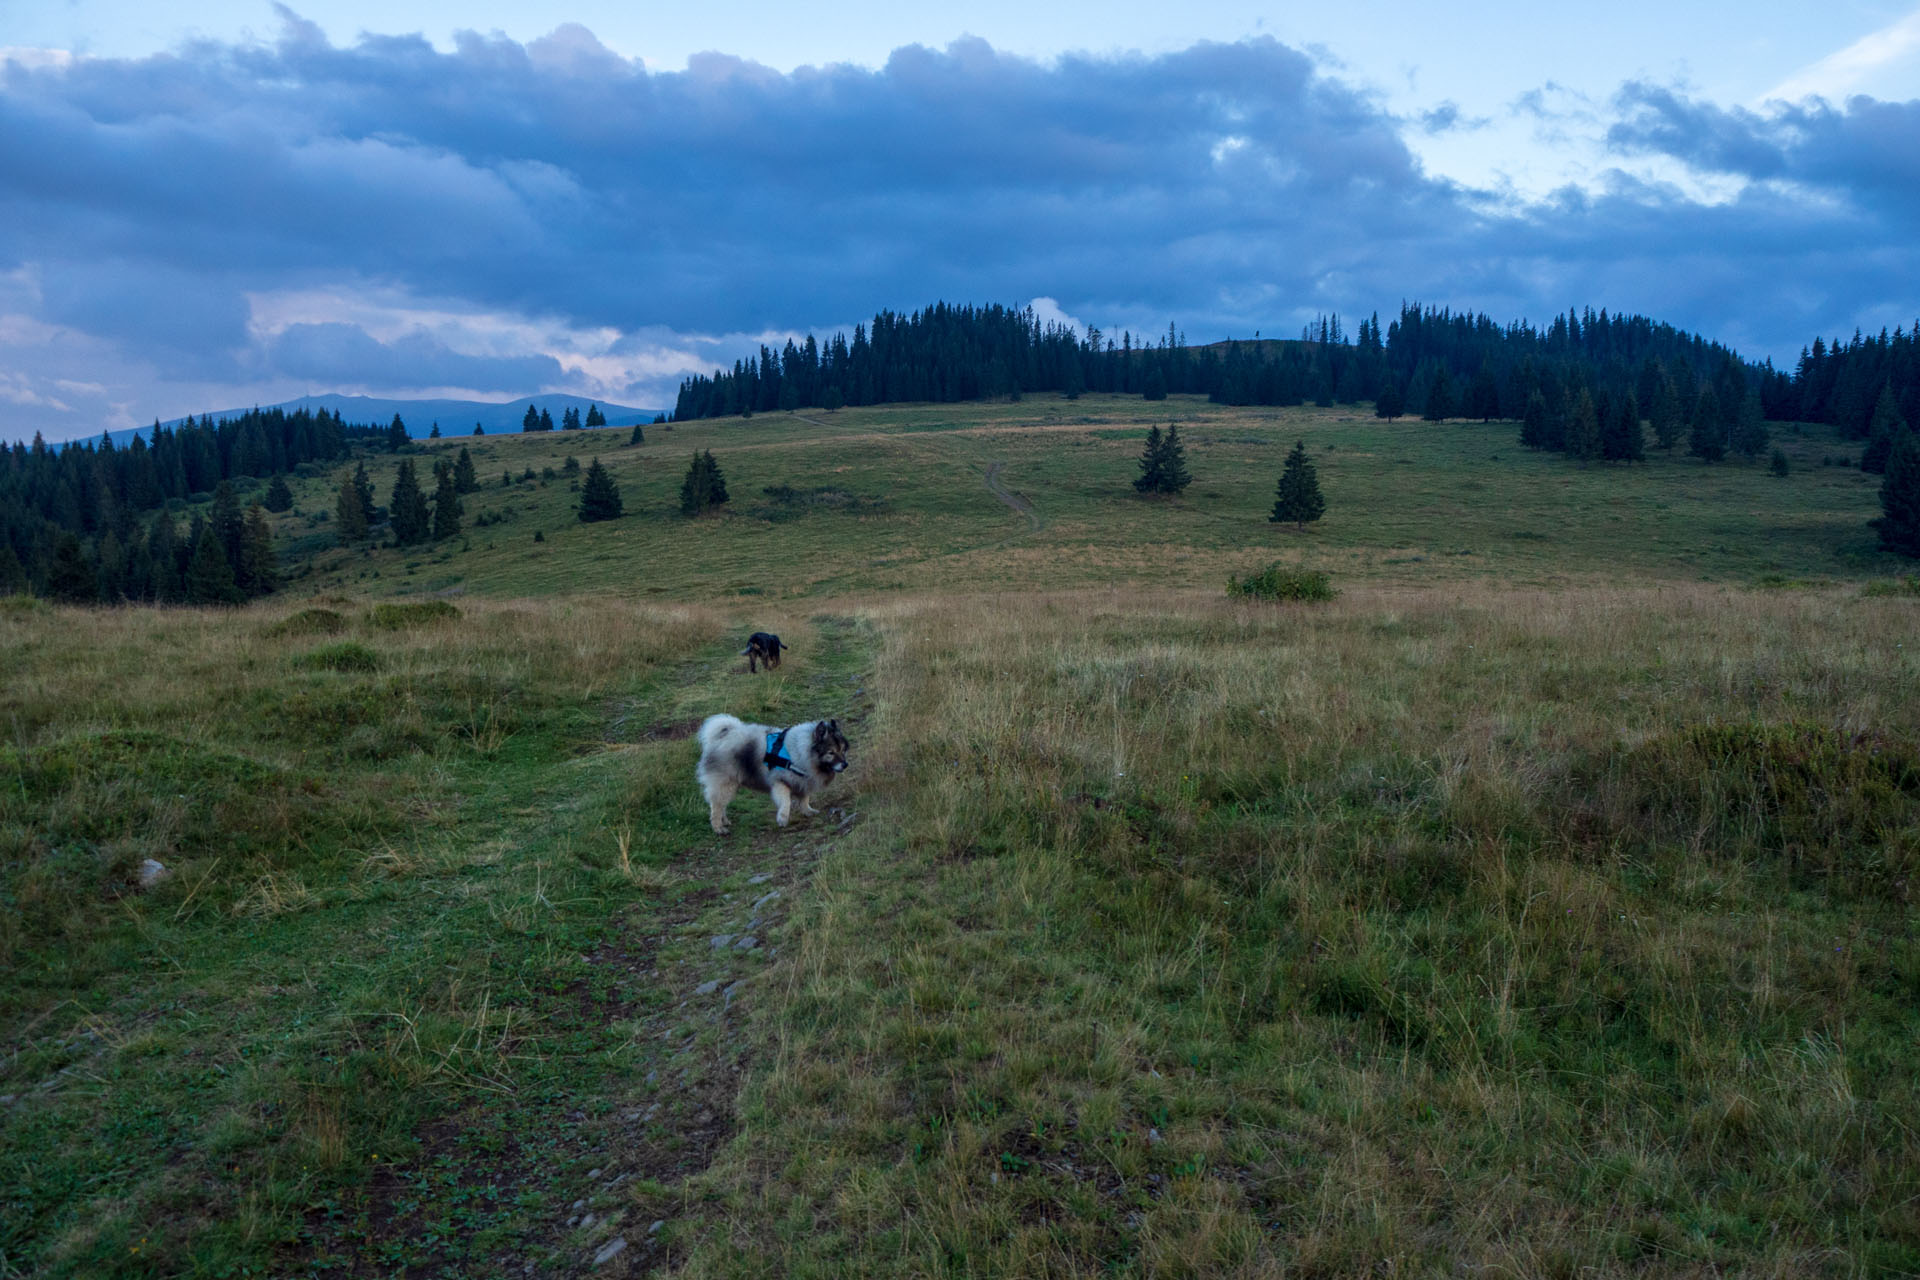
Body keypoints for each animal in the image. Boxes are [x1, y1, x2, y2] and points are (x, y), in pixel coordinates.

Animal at [698, 717, 848, 836]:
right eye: (831, 753)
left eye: (842, 750)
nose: (845, 764)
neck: (799, 752)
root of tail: (719, 737)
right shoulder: (780, 782)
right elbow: (786, 801)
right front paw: (783, 818)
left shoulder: (802, 781)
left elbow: (804, 799)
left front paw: (808, 811)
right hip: (725, 784)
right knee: (716, 807)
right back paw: (718, 828)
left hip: (729, 786)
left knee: (721, 805)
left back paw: (725, 822)